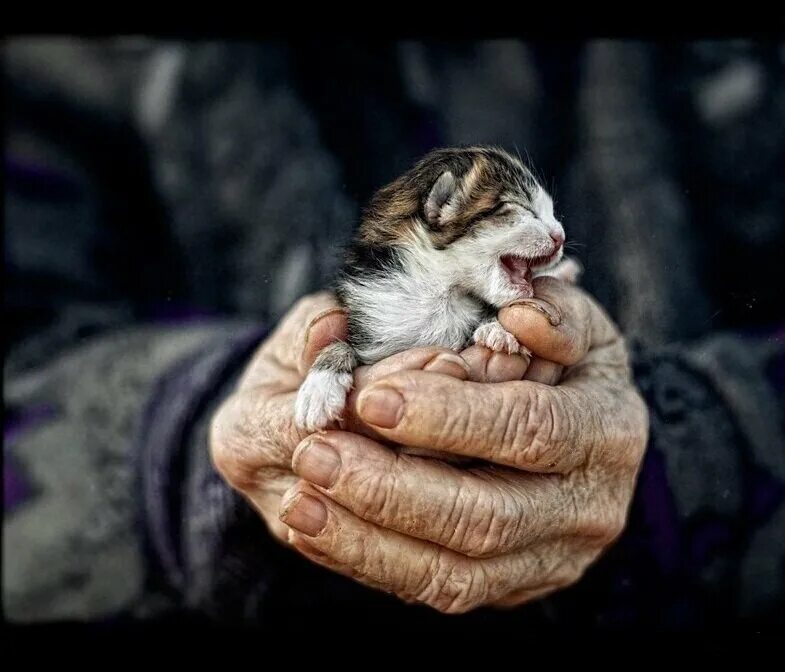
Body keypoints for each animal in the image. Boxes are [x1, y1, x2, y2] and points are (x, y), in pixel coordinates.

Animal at [298, 145, 580, 434]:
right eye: (521, 208)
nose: (560, 236)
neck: (442, 293)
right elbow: (341, 344)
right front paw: (319, 389)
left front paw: (495, 330)